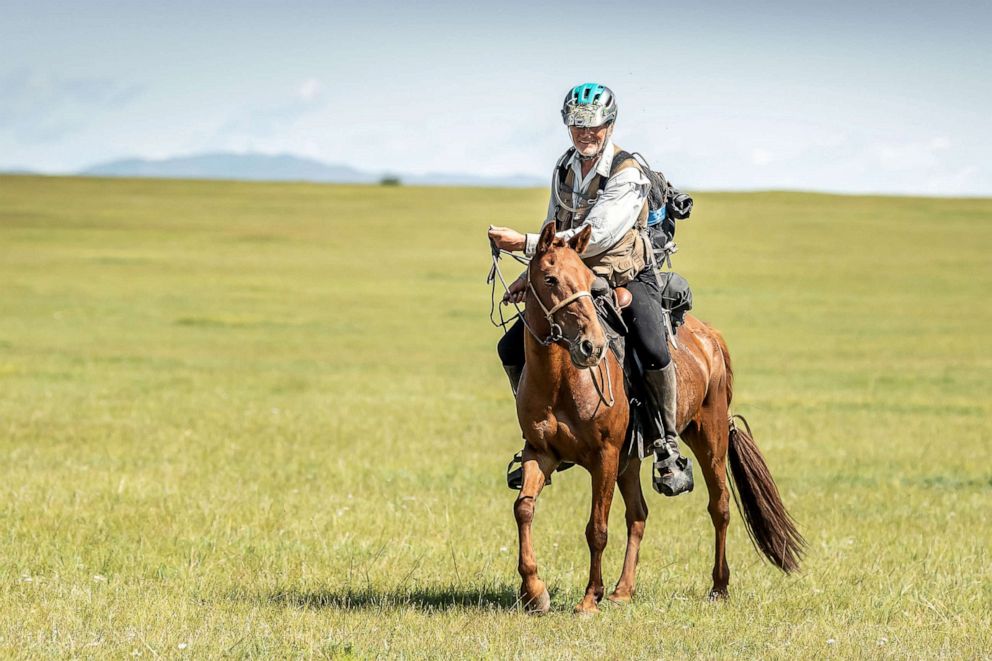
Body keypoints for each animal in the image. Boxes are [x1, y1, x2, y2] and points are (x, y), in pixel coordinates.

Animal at [516, 223, 804, 612]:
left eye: (590, 280)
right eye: (550, 278)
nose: (592, 346)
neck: (562, 379)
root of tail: (710, 335)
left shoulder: (605, 456)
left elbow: (597, 528)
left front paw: (589, 599)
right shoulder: (541, 452)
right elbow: (524, 509)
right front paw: (534, 592)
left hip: (709, 437)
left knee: (720, 507)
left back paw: (719, 587)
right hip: (632, 459)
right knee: (638, 515)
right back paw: (623, 590)